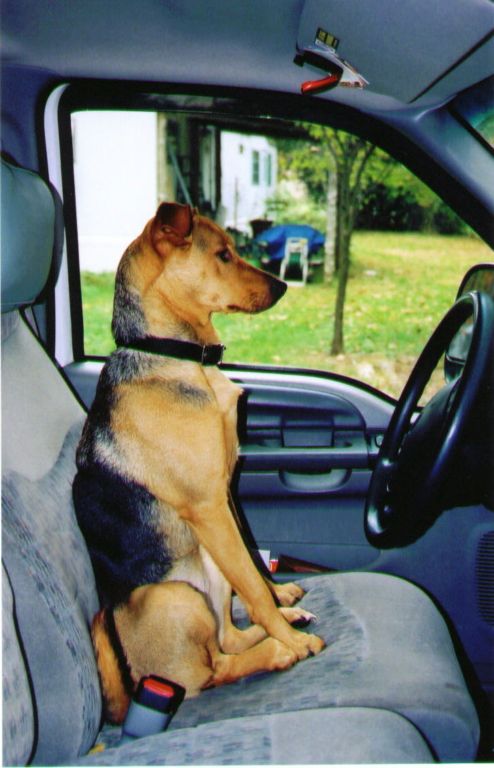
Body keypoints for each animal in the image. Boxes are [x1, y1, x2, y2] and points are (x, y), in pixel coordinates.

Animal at [73, 202, 325, 722]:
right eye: (223, 255)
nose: (284, 286)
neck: (180, 357)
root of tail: (127, 686)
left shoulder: (225, 495)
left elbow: (255, 567)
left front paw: (282, 601)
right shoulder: (208, 506)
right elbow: (254, 586)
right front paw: (291, 639)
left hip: (210, 566)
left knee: (228, 636)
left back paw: (281, 625)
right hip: (175, 597)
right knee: (213, 669)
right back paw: (281, 648)